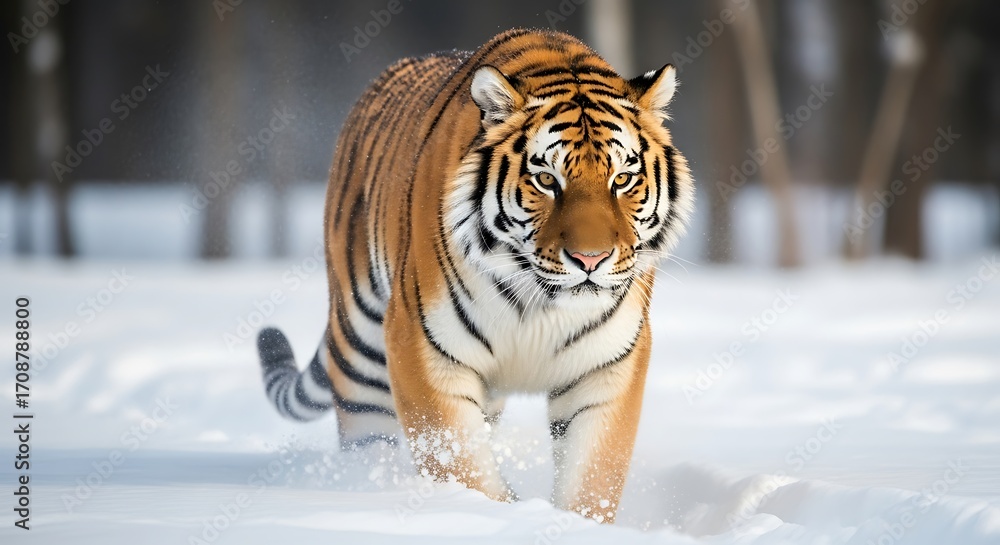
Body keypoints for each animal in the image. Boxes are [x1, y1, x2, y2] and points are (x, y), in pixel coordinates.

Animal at [256, 28, 694, 523]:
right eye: (546, 180)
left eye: (621, 179)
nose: (590, 258)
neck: (540, 301)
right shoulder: (423, 346)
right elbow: (460, 463)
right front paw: (496, 517)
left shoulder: (606, 366)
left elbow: (592, 480)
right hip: (360, 355)